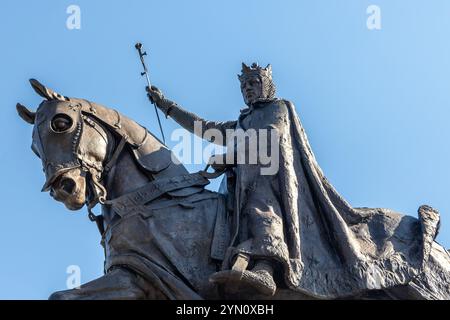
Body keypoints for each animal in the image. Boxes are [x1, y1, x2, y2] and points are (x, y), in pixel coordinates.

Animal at [16, 79, 450, 298]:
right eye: (34, 146)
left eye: (61, 123)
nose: (65, 189)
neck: (151, 200)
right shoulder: (136, 279)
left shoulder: (138, 277)